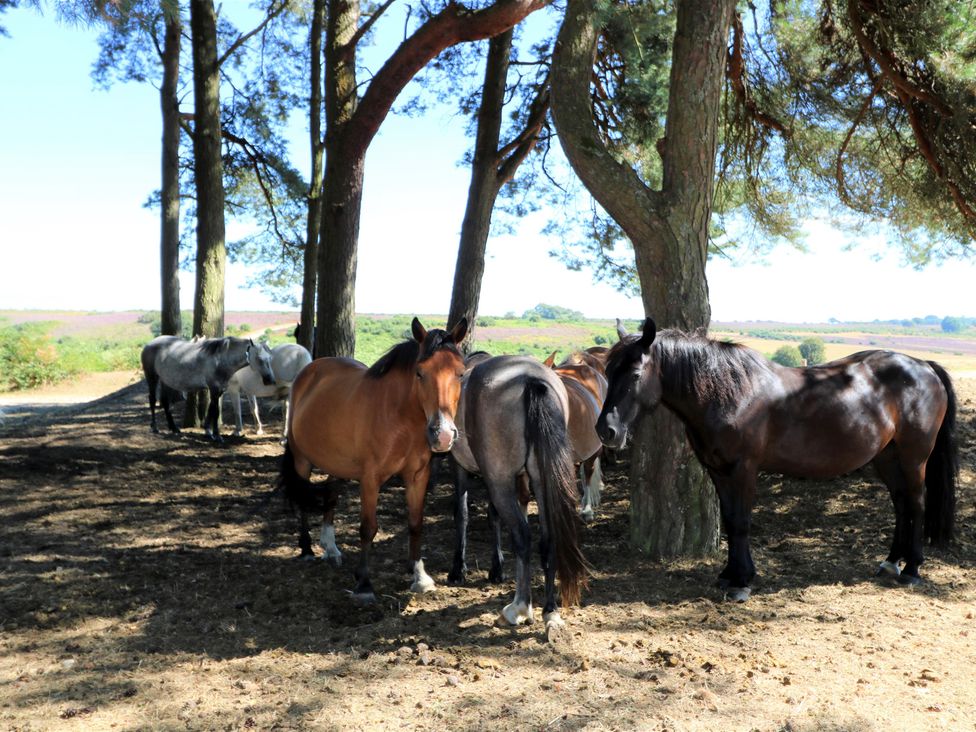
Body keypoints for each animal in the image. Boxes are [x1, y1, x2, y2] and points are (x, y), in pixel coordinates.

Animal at [141, 335, 274, 441]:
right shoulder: (214, 388)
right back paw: (155, 427)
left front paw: (209, 432)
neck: (221, 359)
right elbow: (215, 411)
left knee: (165, 402)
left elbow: (212, 410)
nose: (270, 380)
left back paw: (174, 428)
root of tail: (149, 344)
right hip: (152, 377)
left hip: (165, 381)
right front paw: (217, 435)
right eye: (259, 359)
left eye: (269, 358)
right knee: (152, 399)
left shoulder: (219, 390)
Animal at [278, 317, 468, 603]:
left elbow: (415, 523)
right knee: (301, 497)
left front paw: (419, 575)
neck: (401, 419)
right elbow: (368, 528)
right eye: (420, 373)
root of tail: (310, 370)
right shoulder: (370, 479)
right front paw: (364, 583)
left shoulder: (417, 477)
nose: (442, 434)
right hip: (302, 460)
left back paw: (330, 548)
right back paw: (307, 549)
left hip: (338, 464)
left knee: (331, 495)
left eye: (461, 373)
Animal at [450, 355, 587, 628]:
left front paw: (459, 569)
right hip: (541, 480)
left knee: (523, 536)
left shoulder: (464, 469)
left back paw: (519, 607)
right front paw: (497, 568)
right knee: (547, 538)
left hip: (499, 481)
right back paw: (549, 610)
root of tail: (530, 380)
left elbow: (463, 514)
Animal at [598, 317, 958, 602]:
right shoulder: (718, 470)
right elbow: (729, 519)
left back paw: (912, 569)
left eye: (634, 374)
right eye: (607, 371)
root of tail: (924, 366)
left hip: (914, 457)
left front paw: (741, 582)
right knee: (901, 503)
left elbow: (741, 522)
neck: (730, 394)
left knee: (916, 503)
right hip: (887, 456)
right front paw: (730, 574)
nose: (606, 430)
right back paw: (890, 562)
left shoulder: (743, 470)